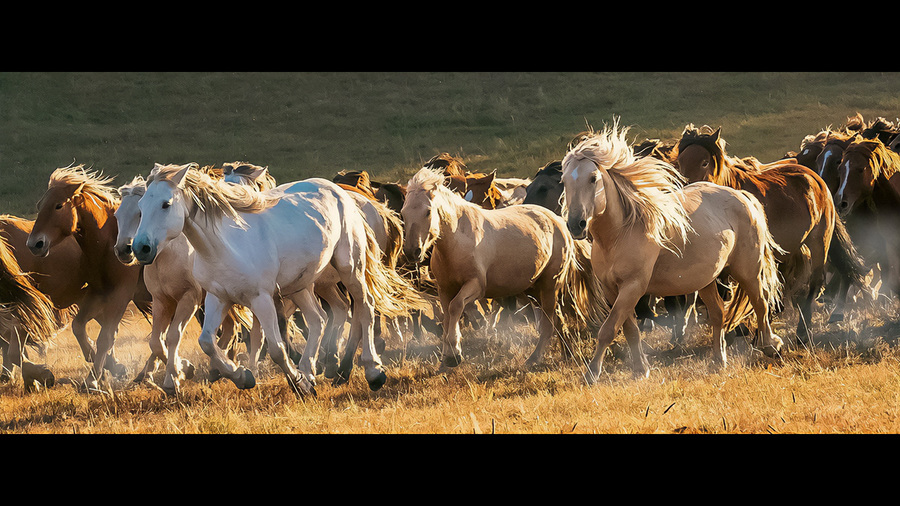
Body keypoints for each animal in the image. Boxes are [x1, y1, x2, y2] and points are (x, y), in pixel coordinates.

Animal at [22, 166, 151, 392]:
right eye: (39, 206)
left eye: (58, 205)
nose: (34, 244)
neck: (108, 244)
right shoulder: (97, 293)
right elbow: (79, 326)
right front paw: (97, 361)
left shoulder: (121, 294)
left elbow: (106, 336)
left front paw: (93, 379)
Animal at [132, 164, 428, 394]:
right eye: (141, 206)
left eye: (166, 204)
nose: (140, 248)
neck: (224, 245)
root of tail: (341, 192)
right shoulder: (218, 298)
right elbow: (207, 343)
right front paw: (242, 376)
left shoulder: (261, 299)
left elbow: (275, 347)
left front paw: (297, 383)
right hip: (302, 285)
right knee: (319, 319)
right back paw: (312, 371)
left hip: (350, 267)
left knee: (364, 307)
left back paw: (372, 371)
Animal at [400, 168, 604, 370]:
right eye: (402, 213)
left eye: (428, 211)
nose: (412, 251)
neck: (458, 240)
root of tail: (559, 222)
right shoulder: (444, 289)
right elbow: (448, 316)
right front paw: (447, 357)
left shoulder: (475, 286)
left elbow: (455, 307)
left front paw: (454, 355)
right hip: (534, 290)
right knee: (558, 319)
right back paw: (567, 354)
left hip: (549, 286)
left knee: (548, 325)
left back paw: (534, 359)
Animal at [568, 123, 784, 384]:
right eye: (564, 180)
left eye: (593, 178)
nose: (575, 224)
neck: (620, 235)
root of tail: (745, 198)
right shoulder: (613, 290)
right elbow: (629, 329)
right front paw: (640, 369)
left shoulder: (633, 286)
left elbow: (608, 330)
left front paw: (591, 373)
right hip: (706, 280)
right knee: (718, 314)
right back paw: (718, 360)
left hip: (748, 271)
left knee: (761, 303)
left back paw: (770, 346)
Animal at [680, 124, 868, 338]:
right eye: (680, 162)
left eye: (704, 163)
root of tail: (818, 181)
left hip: (819, 243)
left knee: (814, 281)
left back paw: (803, 330)